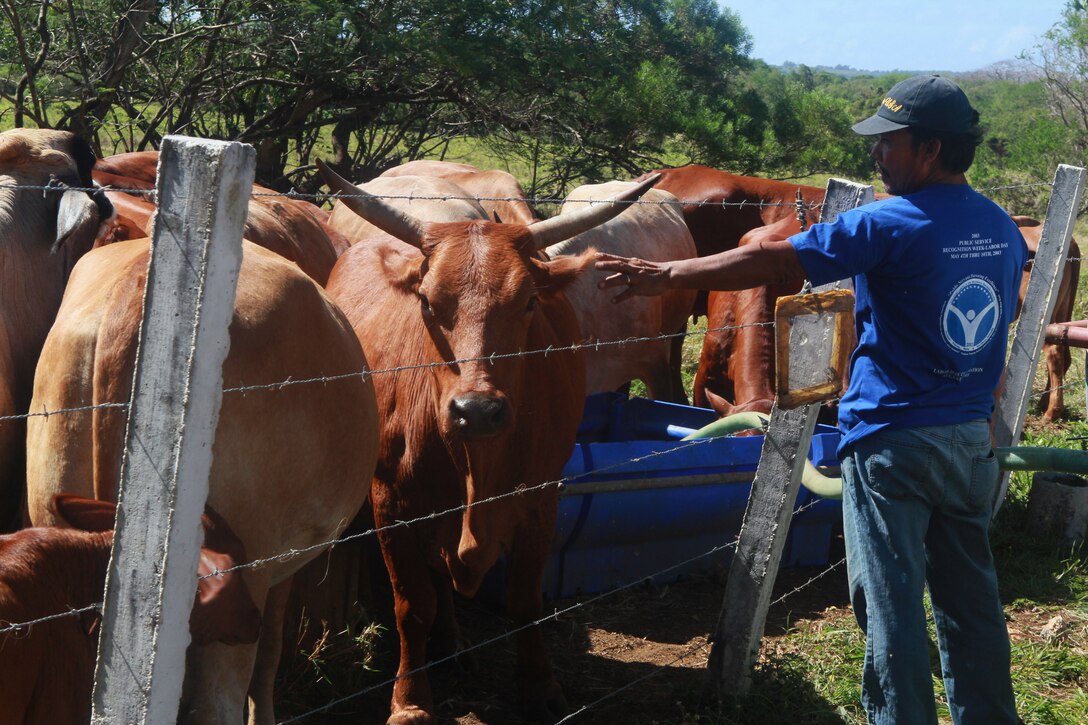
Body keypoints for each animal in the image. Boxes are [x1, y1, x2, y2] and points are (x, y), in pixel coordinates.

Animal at [319, 158, 659, 724]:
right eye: (428, 302)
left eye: (528, 302)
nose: (476, 410)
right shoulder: (392, 504)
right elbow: (413, 605)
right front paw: (410, 701)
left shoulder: (541, 497)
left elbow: (524, 599)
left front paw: (541, 687)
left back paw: (455, 645)